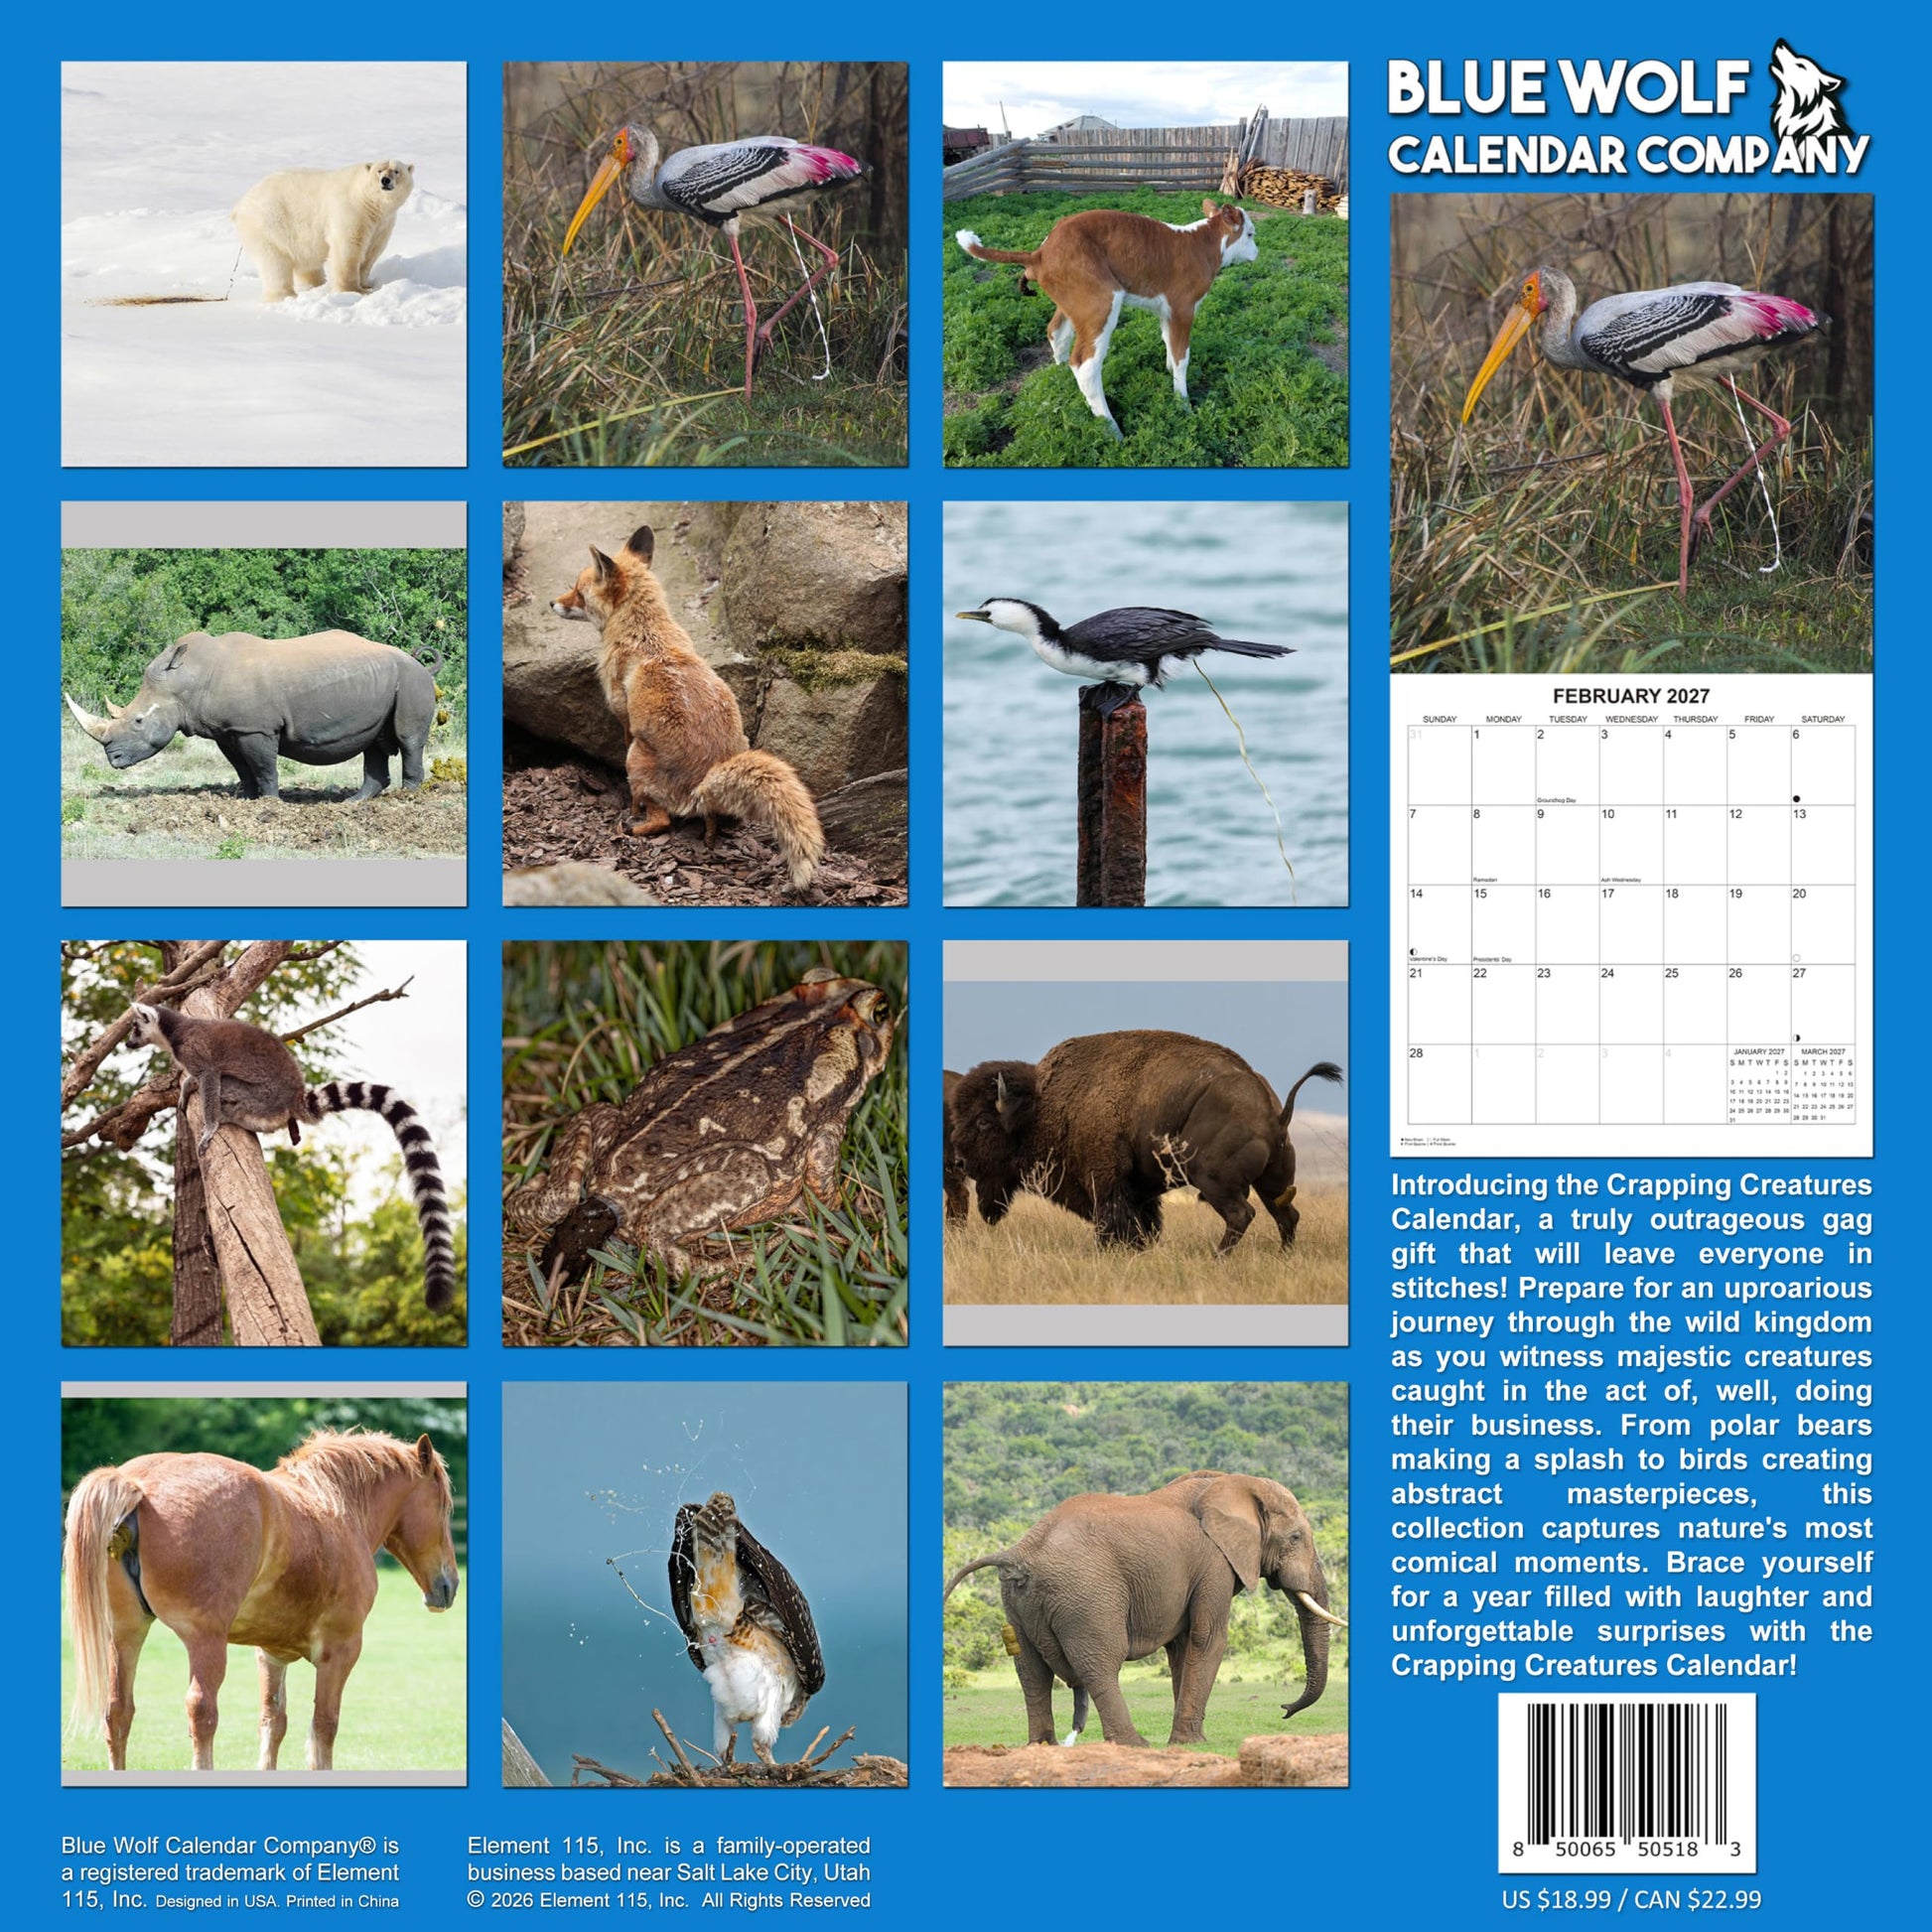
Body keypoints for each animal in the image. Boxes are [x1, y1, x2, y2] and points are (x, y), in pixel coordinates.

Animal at [943, 1470, 1345, 1748]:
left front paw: (1183, 1741)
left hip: (1017, 1602)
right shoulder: (1215, 1563)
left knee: (1031, 1671)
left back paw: (1043, 1746)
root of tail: (1021, 1552)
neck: (1232, 1483)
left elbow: (1183, 1647)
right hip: (1086, 1597)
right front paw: (1191, 1743)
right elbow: (1209, 1638)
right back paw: (1134, 1744)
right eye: (1296, 1537)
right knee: (1101, 1665)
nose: (1284, 1709)